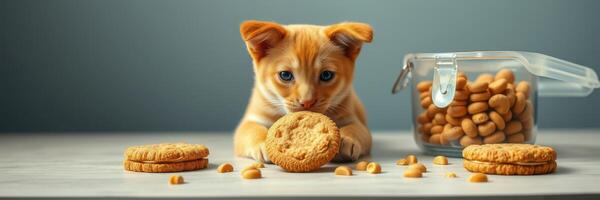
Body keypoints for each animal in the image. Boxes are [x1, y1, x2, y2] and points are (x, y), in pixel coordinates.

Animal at [233, 19, 370, 162]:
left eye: (326, 75)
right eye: (285, 75)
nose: (307, 102)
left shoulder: (355, 122)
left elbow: (354, 129)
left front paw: (346, 140)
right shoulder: (251, 120)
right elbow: (253, 129)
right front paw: (263, 143)